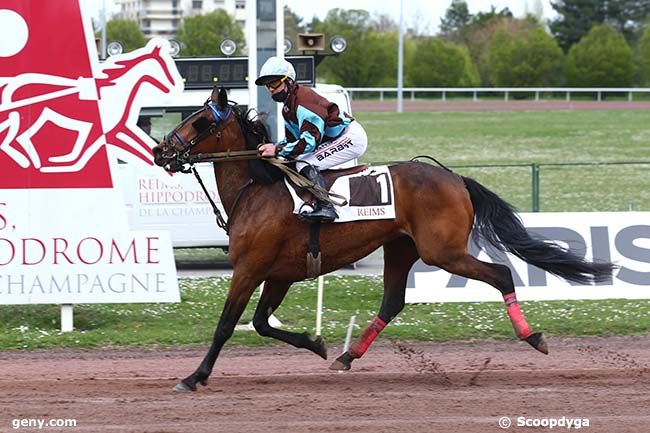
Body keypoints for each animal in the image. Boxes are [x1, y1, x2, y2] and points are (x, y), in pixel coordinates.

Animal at [152, 87, 612, 392]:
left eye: (200, 121)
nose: (161, 151)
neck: (258, 188)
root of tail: (455, 179)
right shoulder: (279, 273)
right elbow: (263, 324)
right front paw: (318, 344)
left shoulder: (250, 268)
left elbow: (227, 325)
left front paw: (194, 377)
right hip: (401, 248)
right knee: (392, 302)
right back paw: (346, 356)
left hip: (442, 251)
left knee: (500, 274)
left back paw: (533, 336)